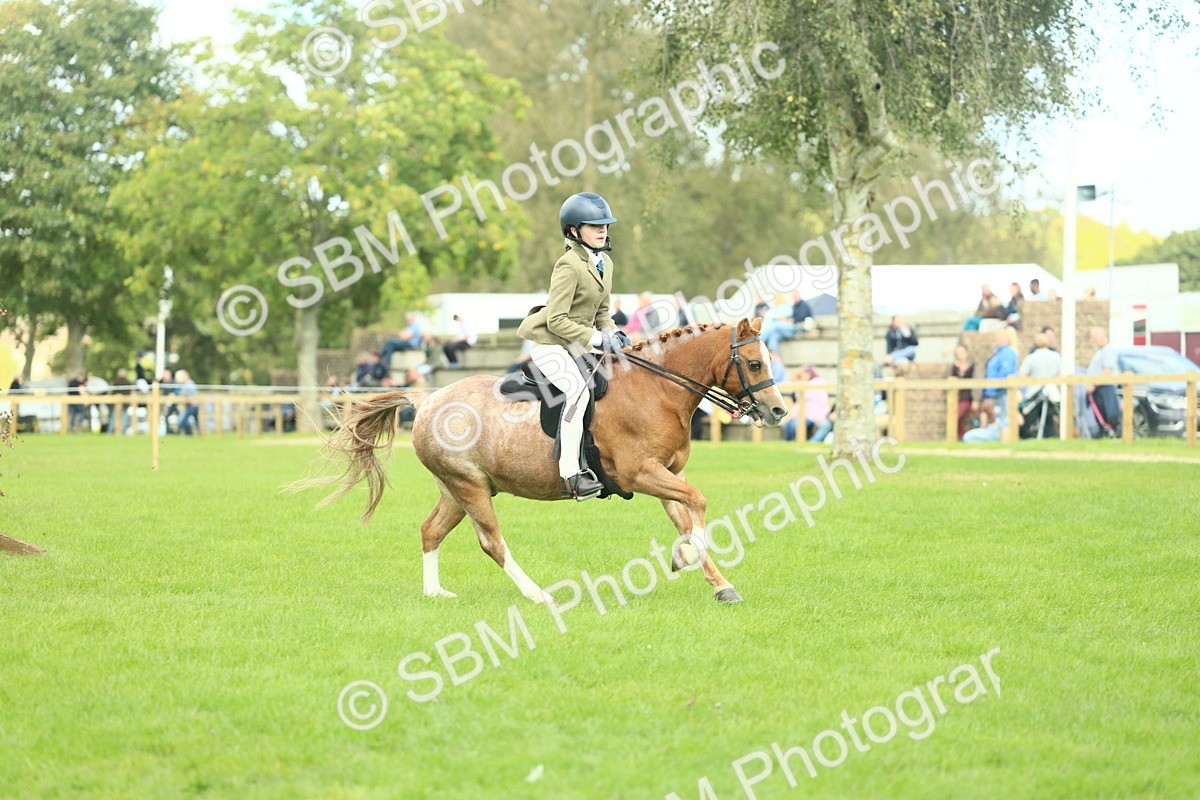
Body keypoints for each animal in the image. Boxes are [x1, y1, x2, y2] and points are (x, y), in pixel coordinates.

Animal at [296, 317, 787, 605]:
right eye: (754, 363)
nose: (779, 411)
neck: (656, 388)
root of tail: (428, 397)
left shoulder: (667, 473)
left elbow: (687, 517)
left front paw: (717, 582)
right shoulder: (641, 473)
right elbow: (699, 503)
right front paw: (684, 559)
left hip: (458, 489)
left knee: (430, 531)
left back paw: (435, 592)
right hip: (470, 488)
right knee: (492, 543)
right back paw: (538, 595)